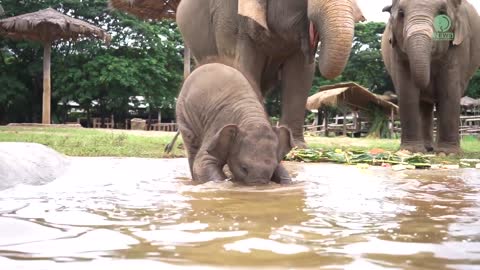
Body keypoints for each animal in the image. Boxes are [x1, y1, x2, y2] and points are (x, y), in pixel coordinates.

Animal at [382, 0, 480, 154]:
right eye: (401, 14)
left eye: (442, 12)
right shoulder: (397, 50)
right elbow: (407, 89)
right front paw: (410, 151)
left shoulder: (460, 45)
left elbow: (449, 89)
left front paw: (447, 153)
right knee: (425, 106)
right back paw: (428, 148)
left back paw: (435, 149)